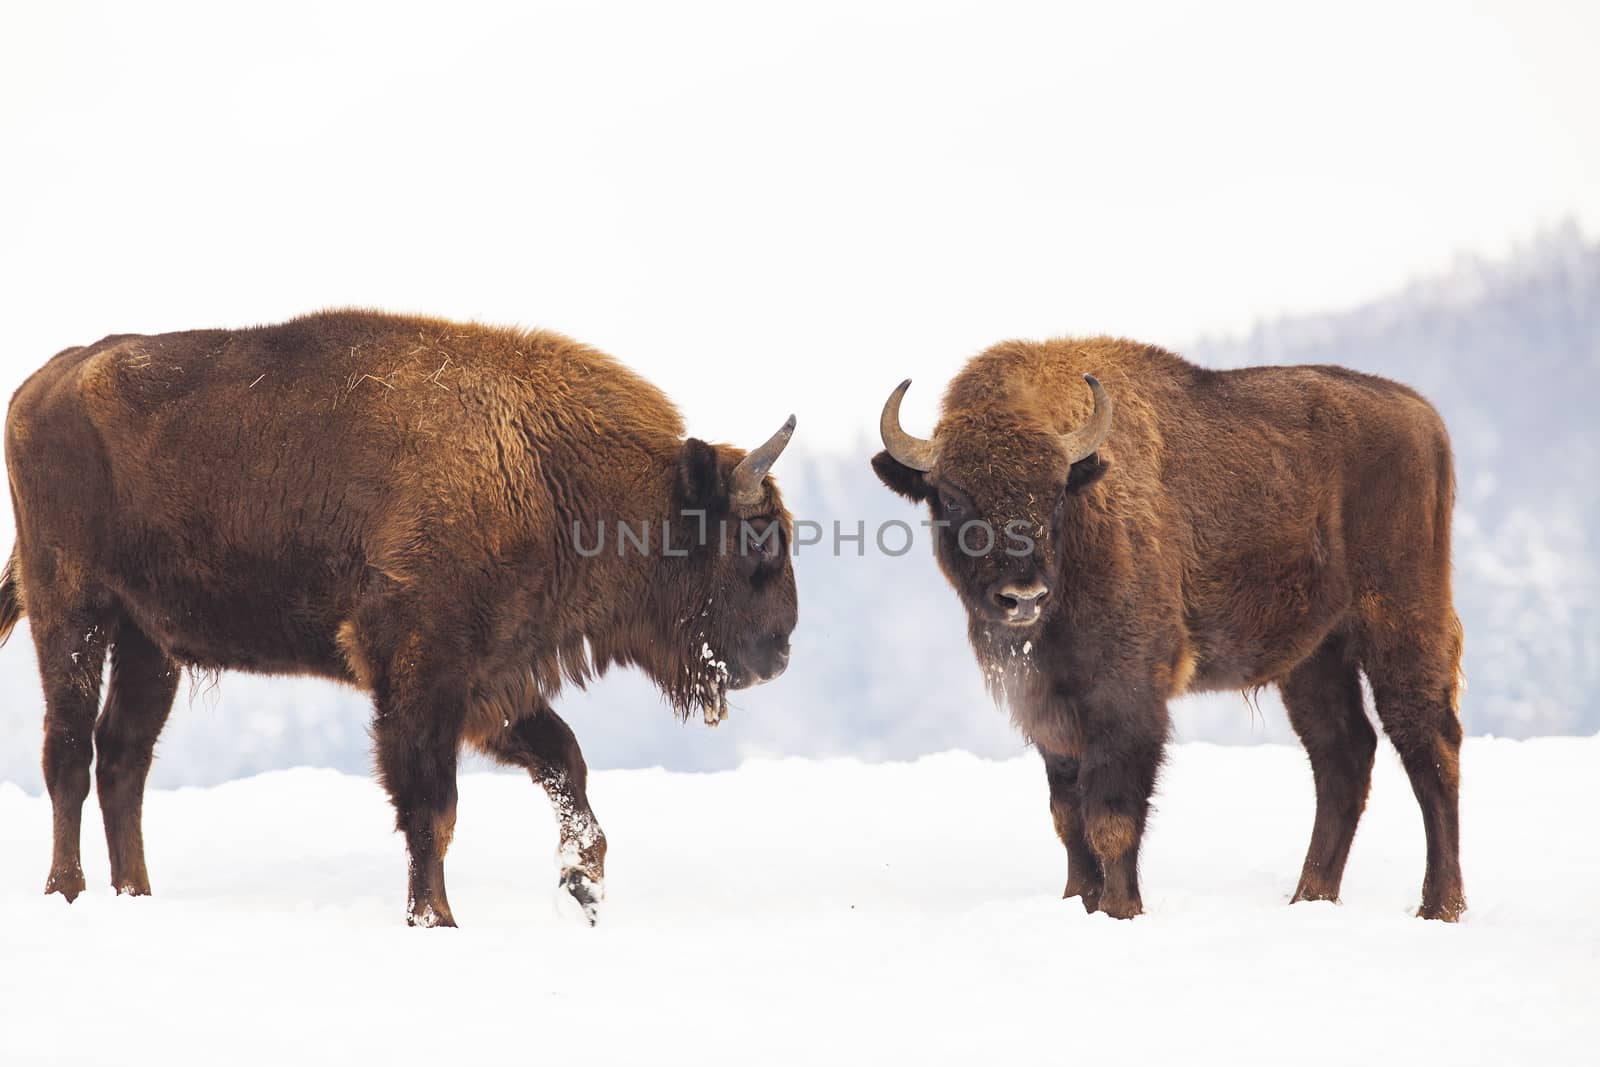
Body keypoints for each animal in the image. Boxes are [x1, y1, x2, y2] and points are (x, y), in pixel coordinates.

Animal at [0, 307, 800, 927]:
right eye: (758, 538)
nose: (781, 649)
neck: (548, 468)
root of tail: (44, 382)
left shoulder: (491, 679)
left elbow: (562, 758)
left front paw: (584, 884)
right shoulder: (423, 671)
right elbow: (432, 806)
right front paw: (436, 919)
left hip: (148, 640)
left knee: (123, 757)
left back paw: (135, 894)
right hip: (71, 610)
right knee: (68, 752)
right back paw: (67, 892)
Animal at [876, 340, 1465, 921]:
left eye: (1055, 494)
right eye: (953, 496)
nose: (1023, 596)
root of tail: (1421, 414)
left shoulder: (1127, 698)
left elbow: (1111, 817)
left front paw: (1119, 910)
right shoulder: (1048, 710)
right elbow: (1068, 818)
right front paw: (1077, 901)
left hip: (1400, 622)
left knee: (1429, 743)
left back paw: (1439, 906)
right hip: (1314, 656)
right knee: (1343, 753)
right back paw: (1308, 899)